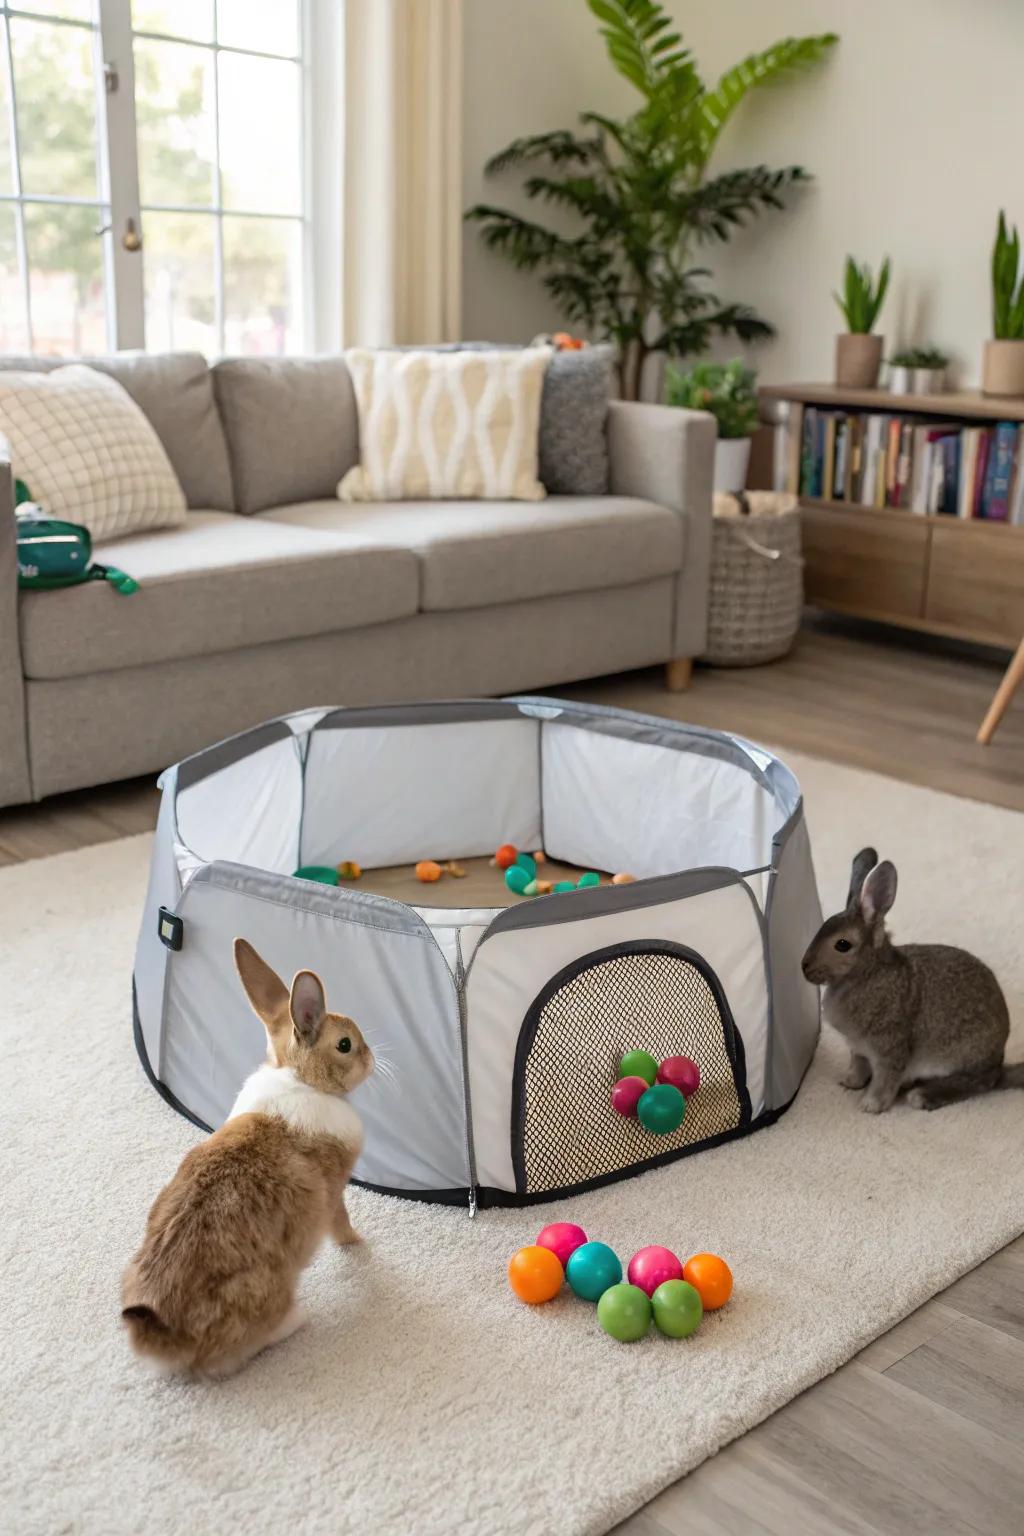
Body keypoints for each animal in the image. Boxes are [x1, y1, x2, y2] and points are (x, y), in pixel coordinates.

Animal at [121, 938, 373, 1377]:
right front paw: (357, 1243)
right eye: (345, 1045)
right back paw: (296, 1320)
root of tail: (161, 1336)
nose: (373, 1058)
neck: (301, 1079)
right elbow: (340, 1223)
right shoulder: (335, 1191)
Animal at [801, 848, 1021, 1114]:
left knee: (980, 1083)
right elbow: (859, 1065)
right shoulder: (858, 1048)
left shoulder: (888, 1049)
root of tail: (999, 1059)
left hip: (961, 1058)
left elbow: (884, 1079)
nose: (804, 967)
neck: (866, 972)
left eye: (842, 945)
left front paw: (871, 1105)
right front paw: (850, 1082)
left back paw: (923, 1096)